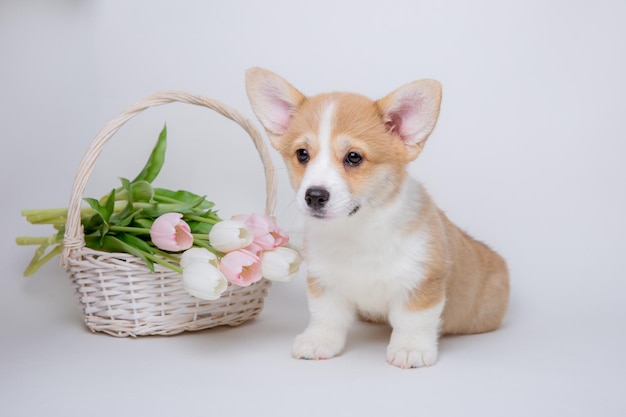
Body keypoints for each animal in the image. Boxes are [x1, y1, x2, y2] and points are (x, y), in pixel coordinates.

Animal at [244, 67, 508, 368]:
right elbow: (325, 316)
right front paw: (318, 342)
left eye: (353, 157)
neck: (357, 230)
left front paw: (410, 349)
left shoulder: (421, 281)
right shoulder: (325, 281)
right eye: (302, 154)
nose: (314, 196)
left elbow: (413, 320)